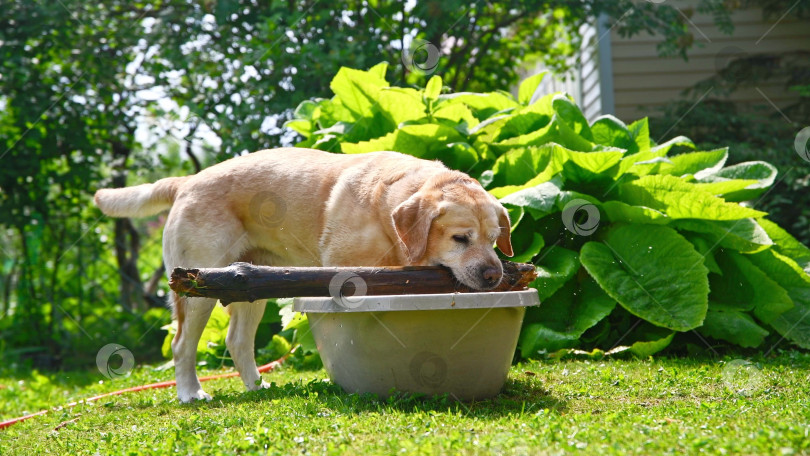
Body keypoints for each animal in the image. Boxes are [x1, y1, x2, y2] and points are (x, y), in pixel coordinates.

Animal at [94, 148, 512, 400]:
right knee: (182, 345)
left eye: (495, 239)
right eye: (460, 238)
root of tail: (187, 181)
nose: (494, 276)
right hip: (197, 289)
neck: (386, 210)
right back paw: (190, 393)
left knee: (237, 341)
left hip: (247, 285)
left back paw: (257, 386)